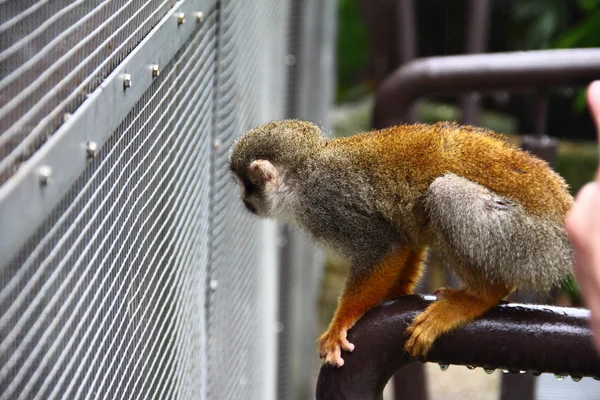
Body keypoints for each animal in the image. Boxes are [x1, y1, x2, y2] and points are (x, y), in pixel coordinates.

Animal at [229, 120, 572, 368]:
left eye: (246, 185)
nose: (244, 202)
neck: (304, 173)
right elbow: (406, 240)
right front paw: (394, 294)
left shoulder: (326, 205)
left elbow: (385, 247)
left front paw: (340, 325)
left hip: (528, 240)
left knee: (444, 193)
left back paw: (479, 297)